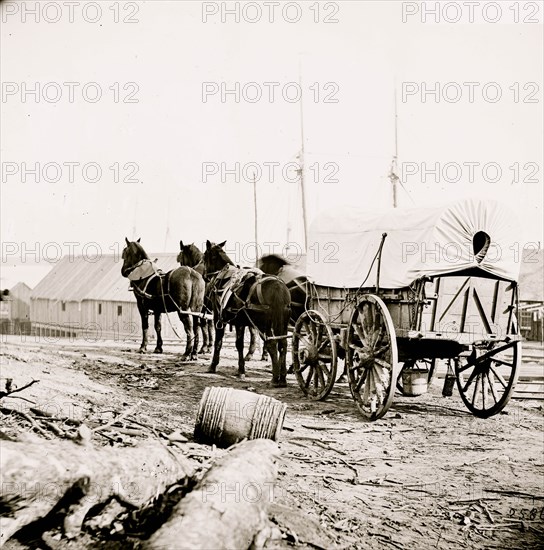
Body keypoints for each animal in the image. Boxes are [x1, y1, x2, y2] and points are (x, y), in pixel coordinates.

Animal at [202, 242, 292, 388]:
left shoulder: (221, 319)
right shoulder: (241, 322)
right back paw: (282, 378)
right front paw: (241, 369)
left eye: (204, 257)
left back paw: (275, 379)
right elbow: (239, 344)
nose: (204, 276)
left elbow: (223, 342)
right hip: (282, 323)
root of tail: (277, 287)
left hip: (263, 325)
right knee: (283, 344)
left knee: (271, 344)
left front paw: (214, 366)